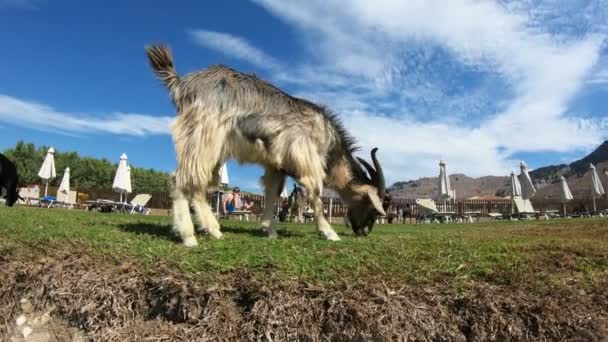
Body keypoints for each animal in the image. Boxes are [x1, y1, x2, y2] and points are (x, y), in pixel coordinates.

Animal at [145, 44, 388, 246]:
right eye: (374, 208)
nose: (363, 232)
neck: (327, 138)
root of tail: (181, 84)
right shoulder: (306, 159)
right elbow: (316, 193)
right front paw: (329, 232)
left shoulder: (276, 165)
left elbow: (273, 193)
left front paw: (269, 230)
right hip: (202, 138)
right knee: (179, 180)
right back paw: (188, 236)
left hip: (211, 149)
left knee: (198, 186)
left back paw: (213, 230)